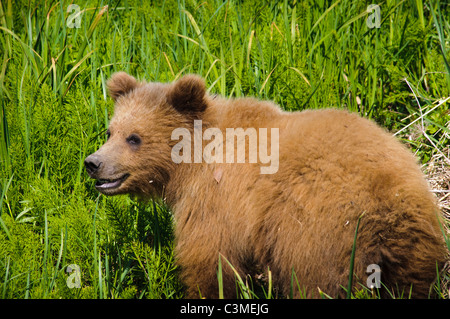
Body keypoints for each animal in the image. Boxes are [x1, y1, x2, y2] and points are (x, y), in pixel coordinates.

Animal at [83, 72, 446, 300]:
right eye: (110, 131)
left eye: (134, 138)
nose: (93, 163)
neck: (190, 163)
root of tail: (389, 200)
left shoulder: (216, 199)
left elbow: (210, 260)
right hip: (415, 247)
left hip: (318, 233)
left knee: (317, 283)